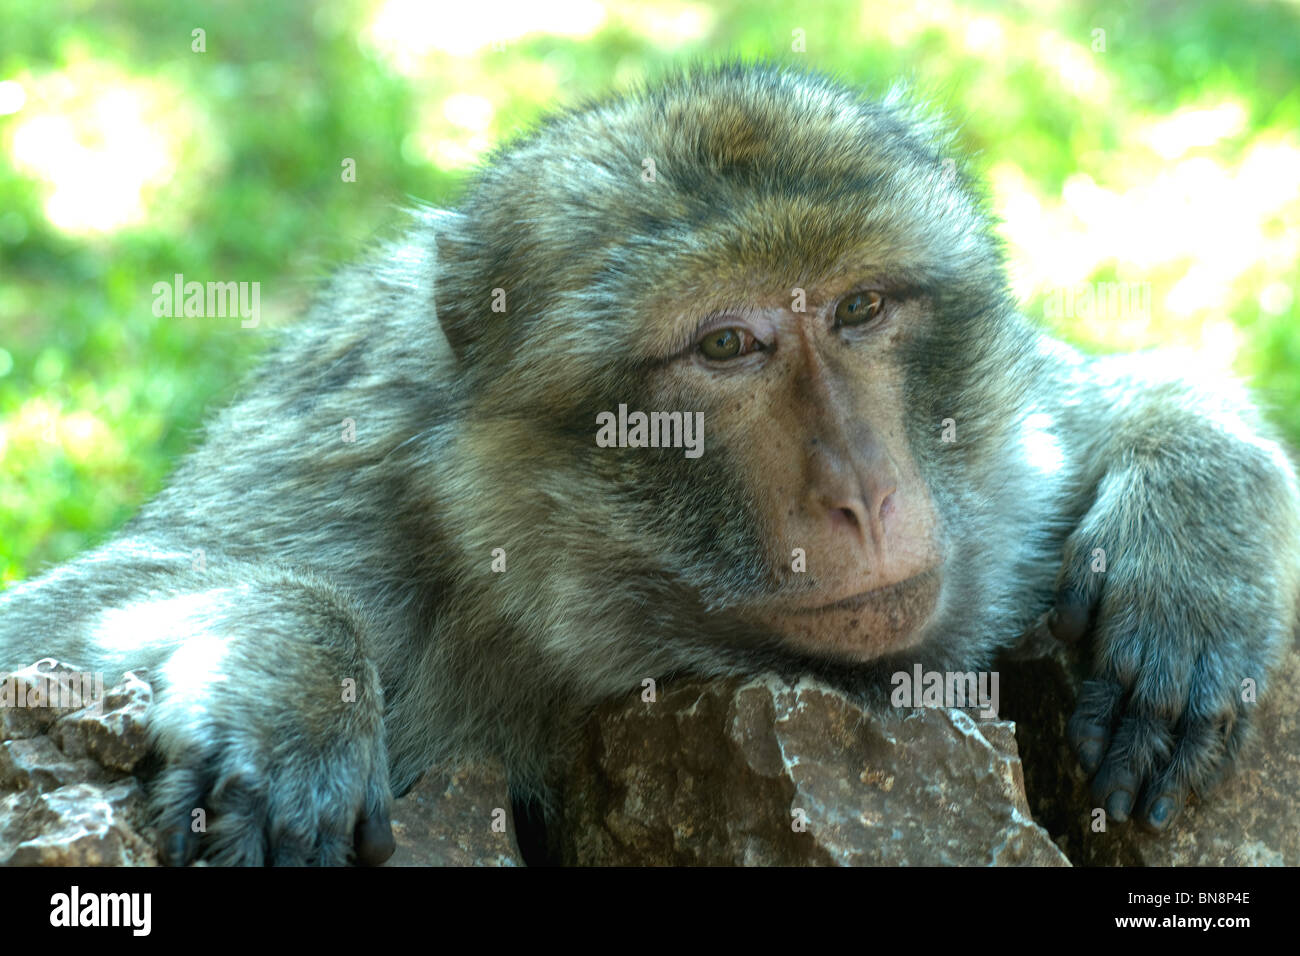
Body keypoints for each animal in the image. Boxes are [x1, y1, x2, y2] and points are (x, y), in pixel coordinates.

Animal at [2, 63, 1300, 863]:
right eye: (725, 344)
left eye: (861, 307)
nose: (863, 492)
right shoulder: (352, 487)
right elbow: (48, 626)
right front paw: (288, 669)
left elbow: (1091, 397)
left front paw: (1192, 533)